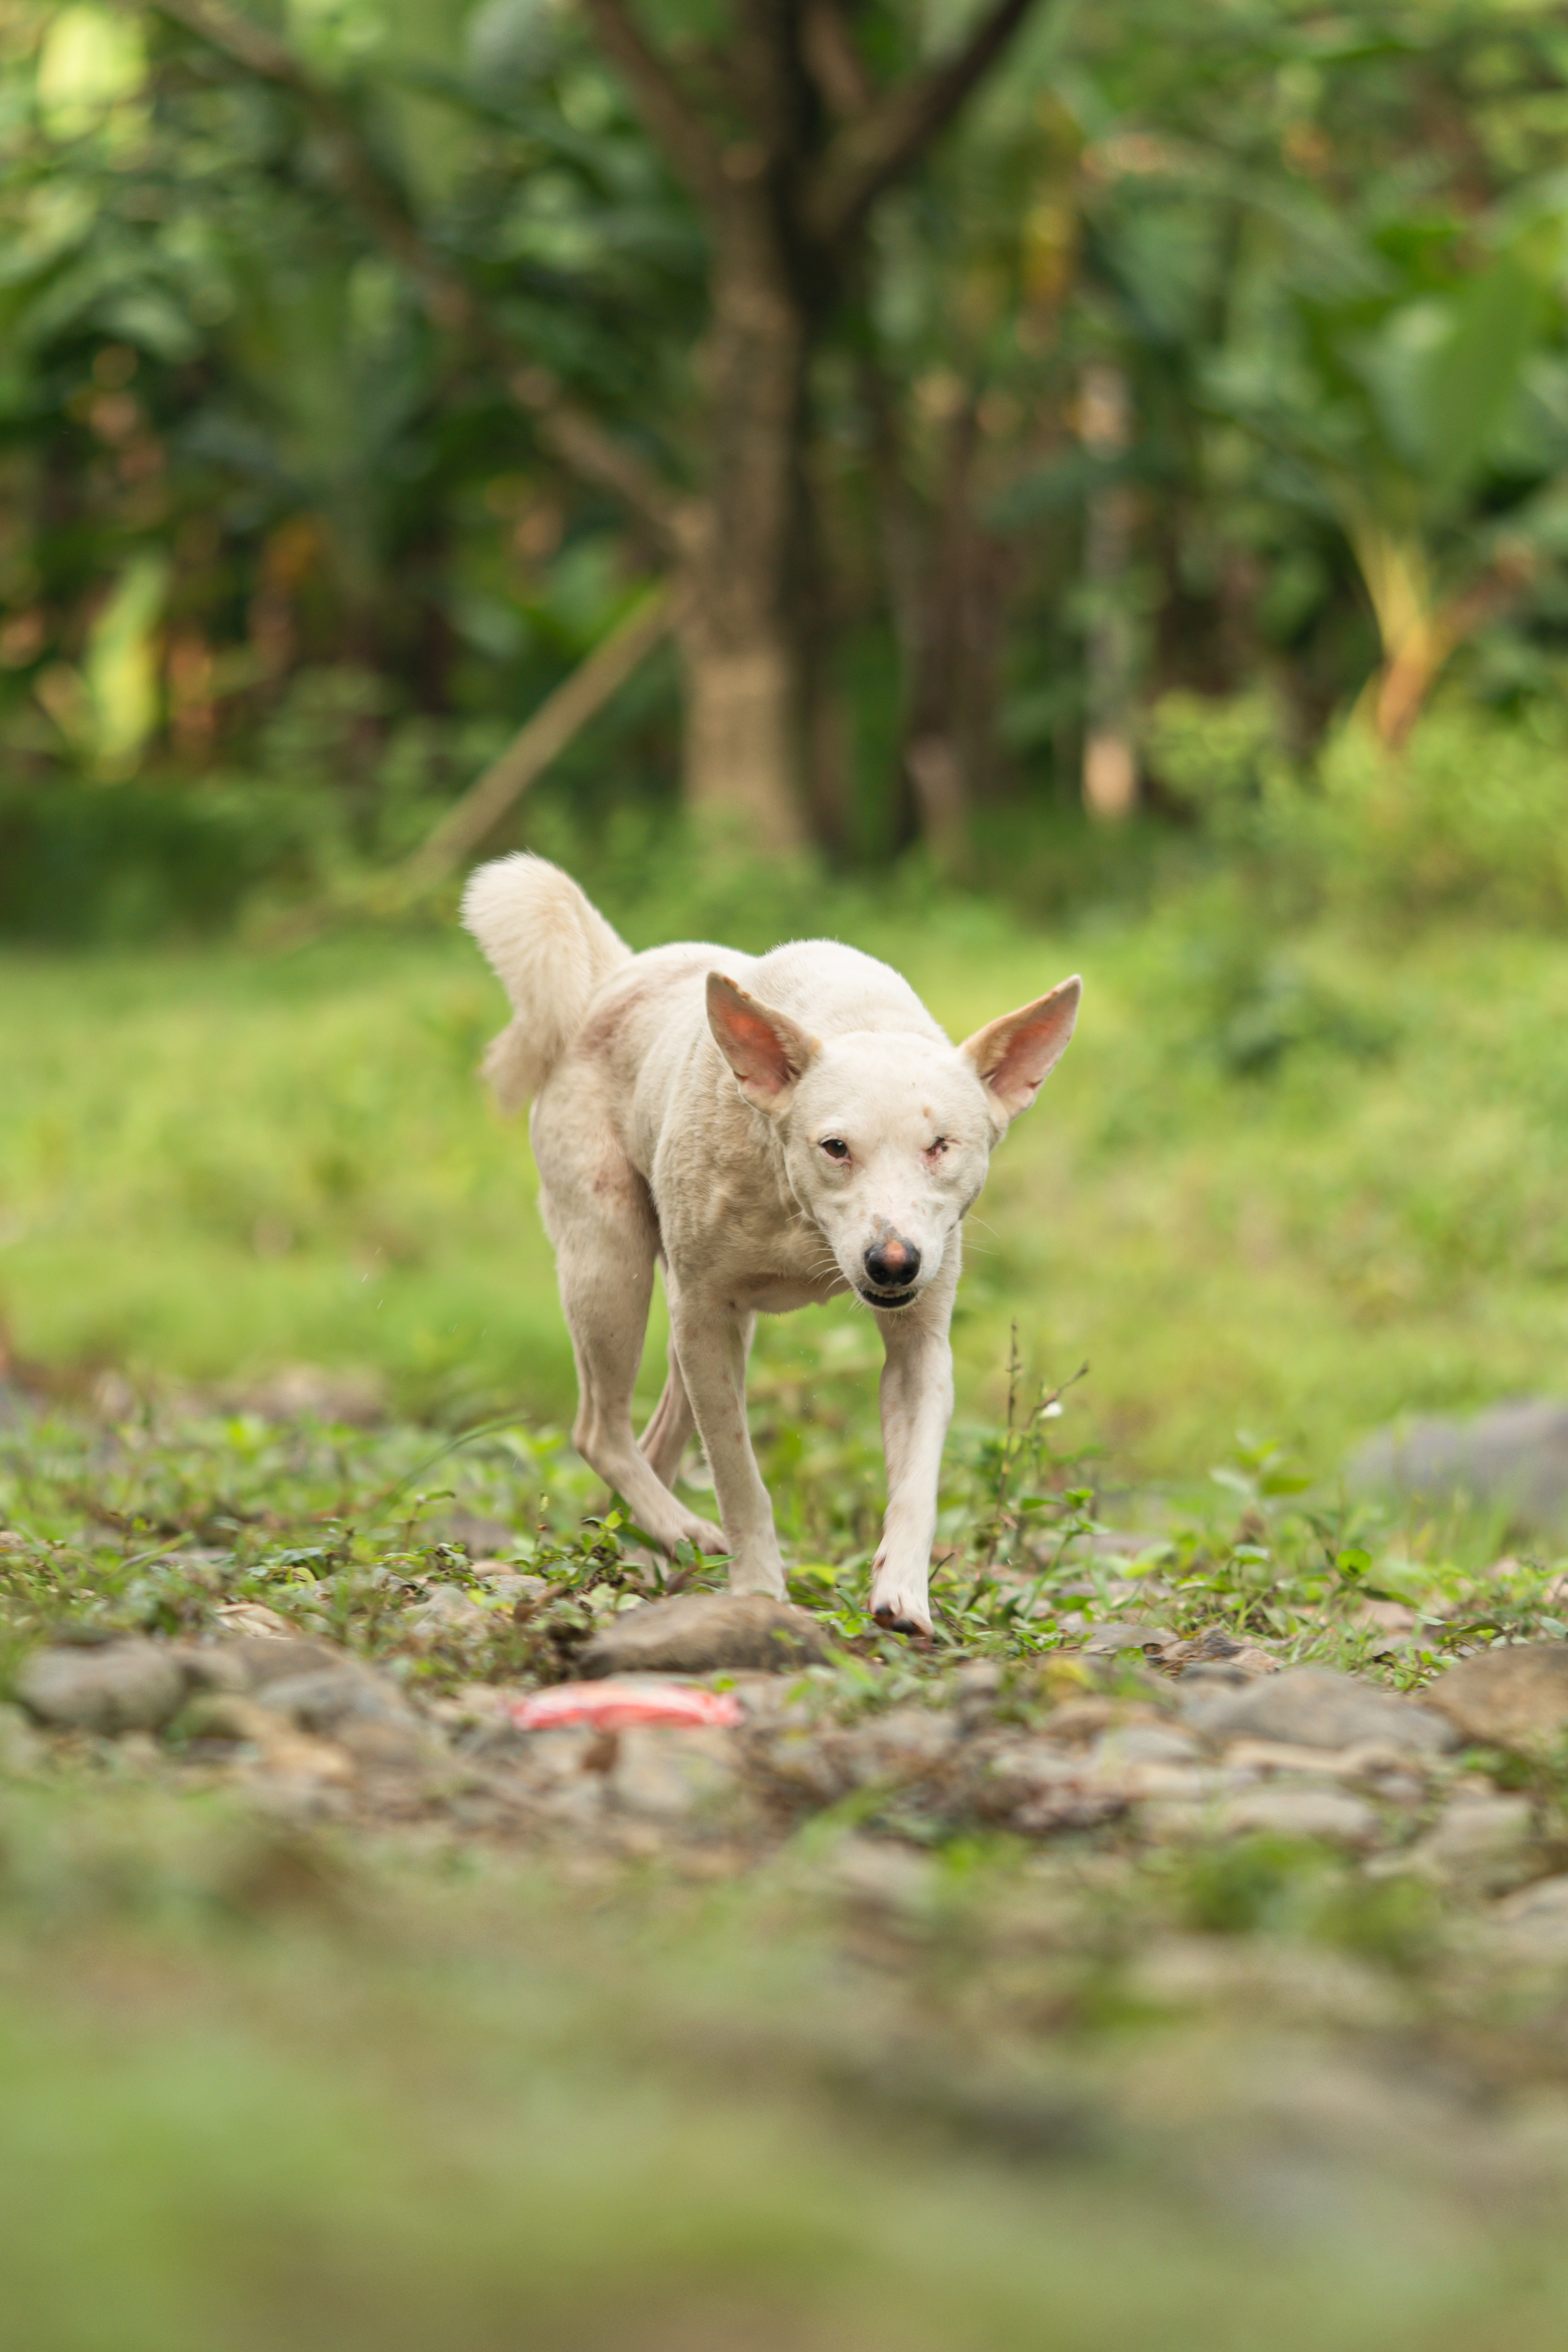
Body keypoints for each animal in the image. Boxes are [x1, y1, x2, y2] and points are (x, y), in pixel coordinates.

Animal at [465, 856, 1081, 1646]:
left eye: (941, 1146)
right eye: (835, 1147)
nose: (893, 1262)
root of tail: (612, 973)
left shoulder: (918, 1342)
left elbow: (917, 1479)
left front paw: (904, 1594)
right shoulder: (705, 1317)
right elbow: (739, 1475)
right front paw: (759, 1592)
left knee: (652, 1443)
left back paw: (660, 1546)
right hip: (611, 1270)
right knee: (600, 1430)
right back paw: (688, 1532)